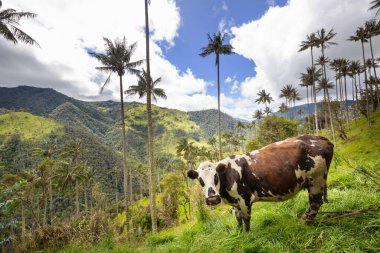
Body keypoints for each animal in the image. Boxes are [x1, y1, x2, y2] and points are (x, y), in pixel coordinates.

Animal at [187, 134, 332, 231]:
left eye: (216, 176)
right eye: (200, 180)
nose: (212, 199)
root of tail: (322, 138)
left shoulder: (245, 199)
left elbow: (246, 219)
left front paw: (248, 234)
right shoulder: (236, 202)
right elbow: (238, 218)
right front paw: (239, 233)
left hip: (316, 179)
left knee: (315, 203)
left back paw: (303, 222)